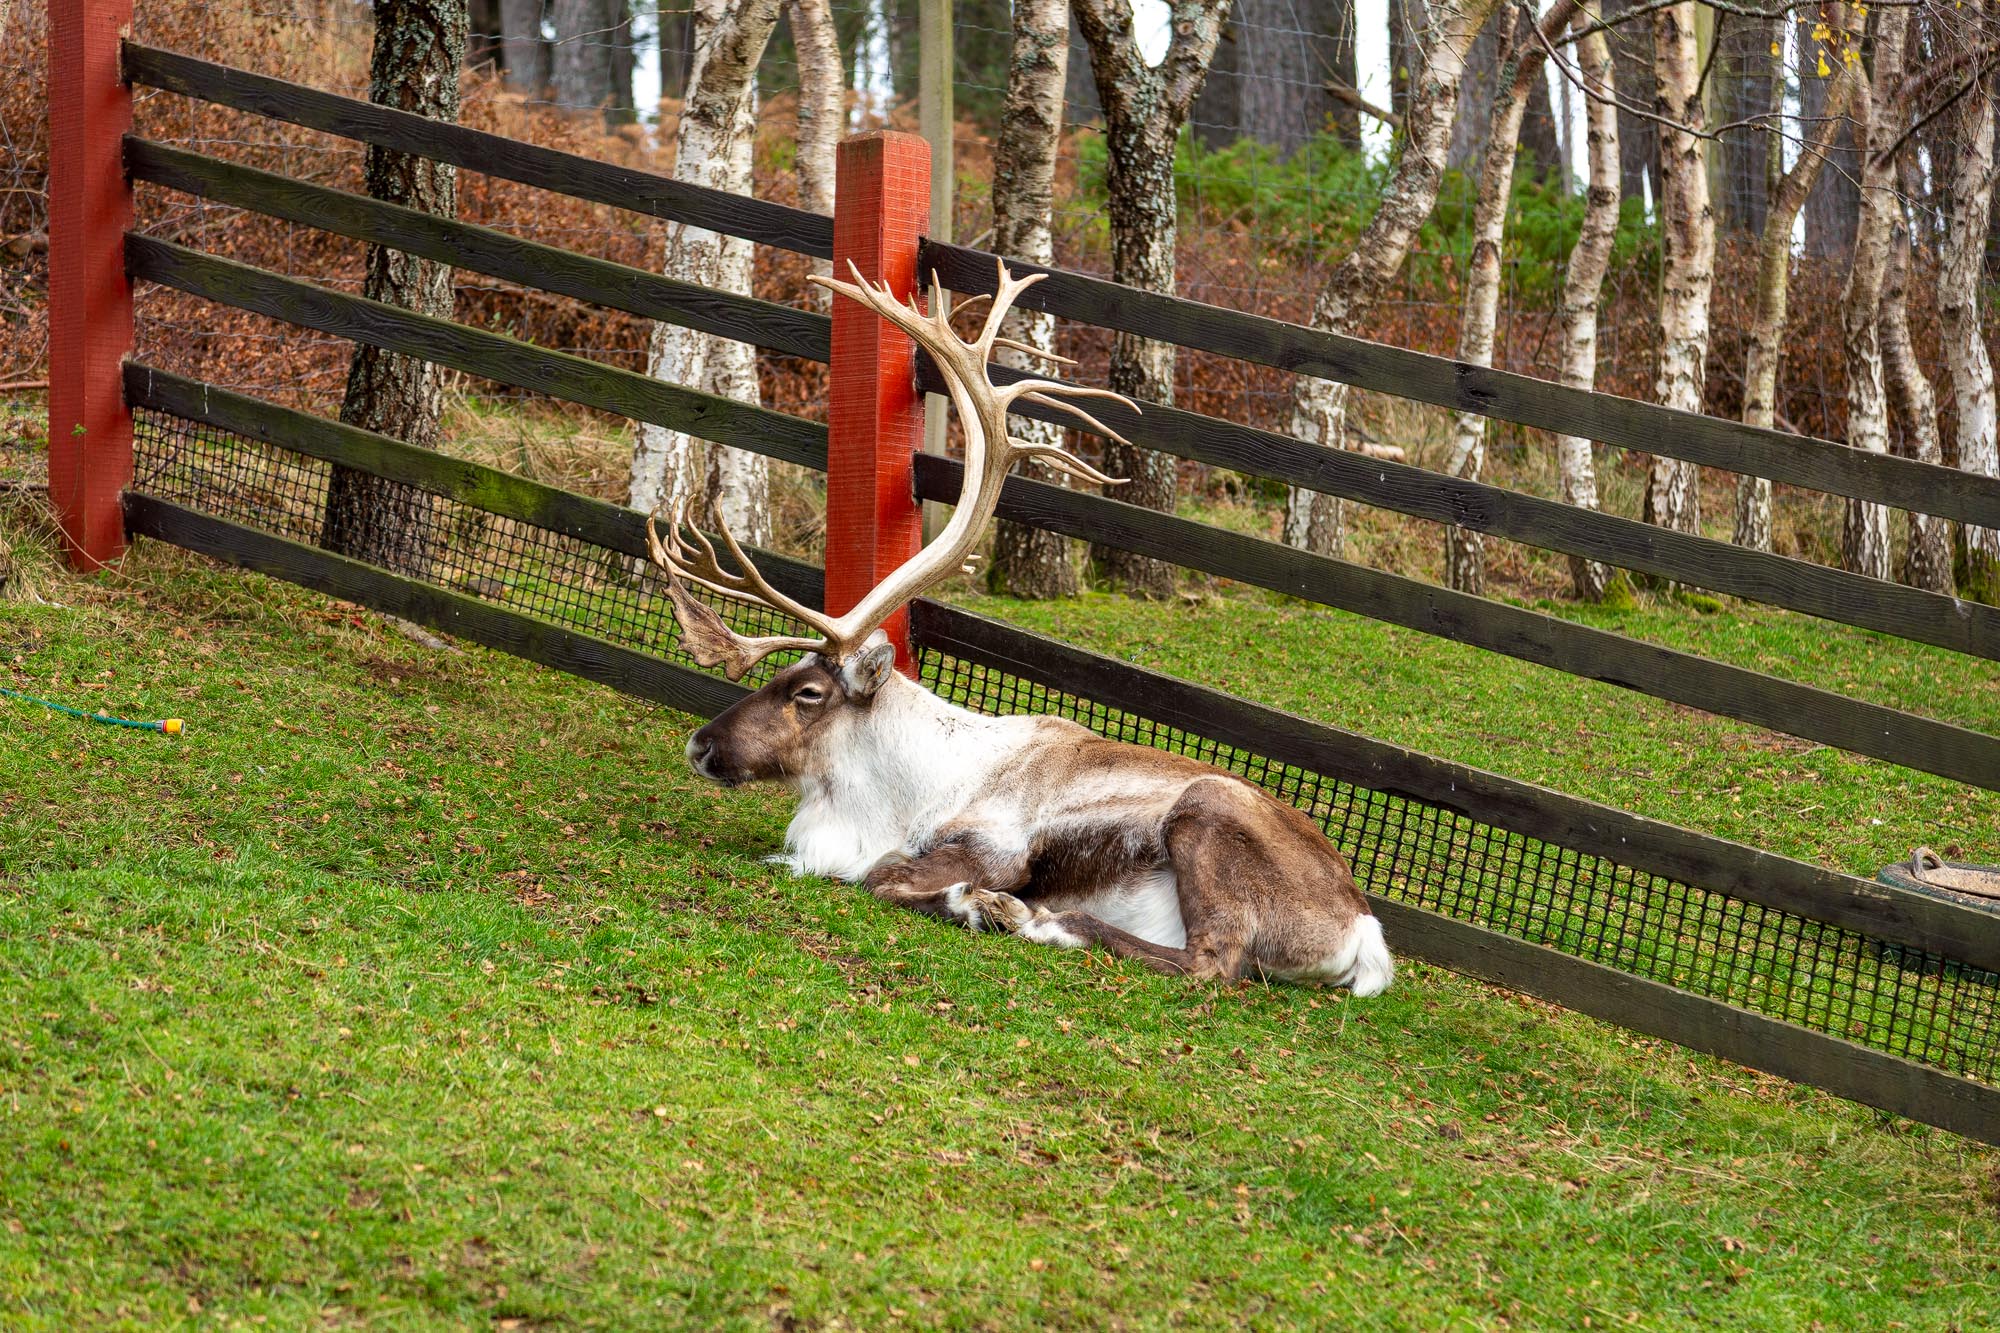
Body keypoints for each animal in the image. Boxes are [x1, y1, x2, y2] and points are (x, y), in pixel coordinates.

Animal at [644, 258, 1393, 994]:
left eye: (807, 692)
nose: (700, 744)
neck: (903, 788)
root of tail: (1363, 935)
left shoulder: (998, 847)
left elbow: (884, 875)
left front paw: (974, 904)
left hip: (1209, 811)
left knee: (1211, 963)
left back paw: (1038, 921)